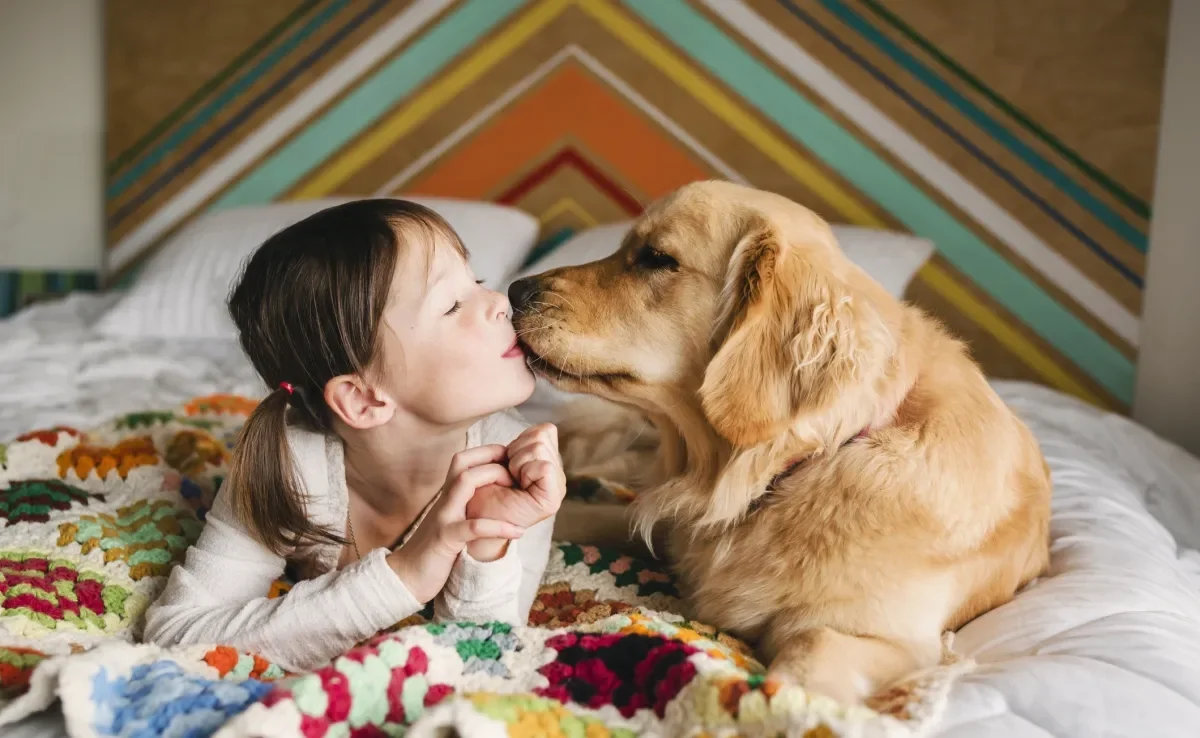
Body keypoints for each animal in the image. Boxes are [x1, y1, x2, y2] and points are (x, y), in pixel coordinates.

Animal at [508, 180, 1051, 705]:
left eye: (657, 258)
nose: (514, 289)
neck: (802, 465)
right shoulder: (676, 523)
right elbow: (582, 515)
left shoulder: (902, 643)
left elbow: (810, 647)